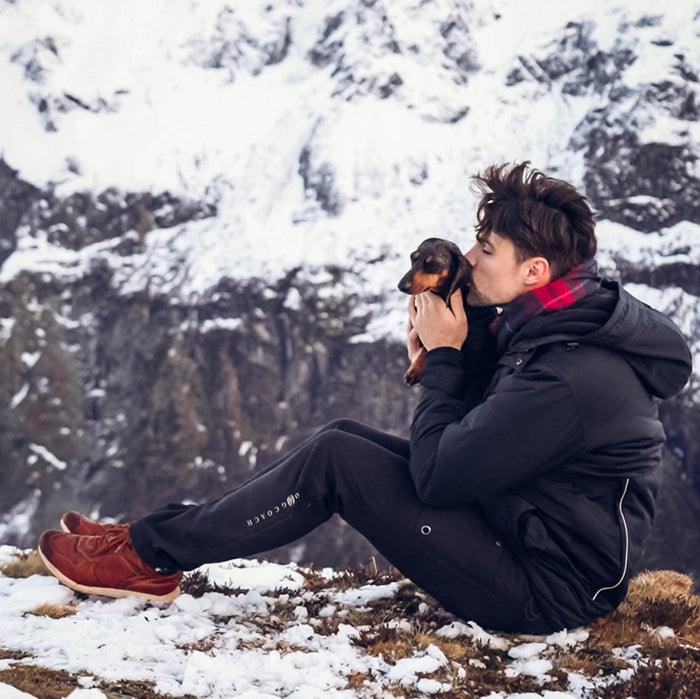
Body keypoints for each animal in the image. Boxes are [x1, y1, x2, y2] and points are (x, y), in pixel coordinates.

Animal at [400, 238, 470, 386]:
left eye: (432, 264)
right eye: (412, 257)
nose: (401, 286)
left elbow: (426, 348)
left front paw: (415, 370)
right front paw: (414, 369)